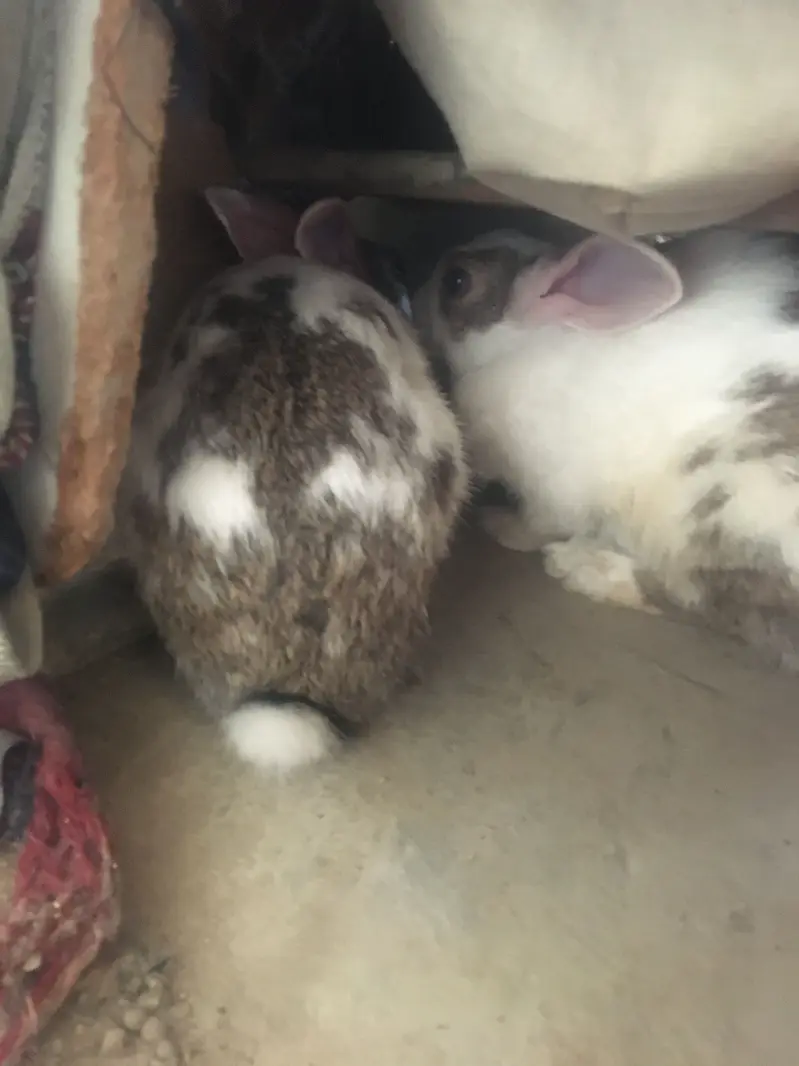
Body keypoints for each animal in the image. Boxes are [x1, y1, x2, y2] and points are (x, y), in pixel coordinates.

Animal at [413, 224, 799, 671]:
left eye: (457, 281)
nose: (415, 293)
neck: (524, 344)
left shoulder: (551, 489)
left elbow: (536, 525)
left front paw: (499, 525)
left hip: (722, 519)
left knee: (706, 609)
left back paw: (582, 567)